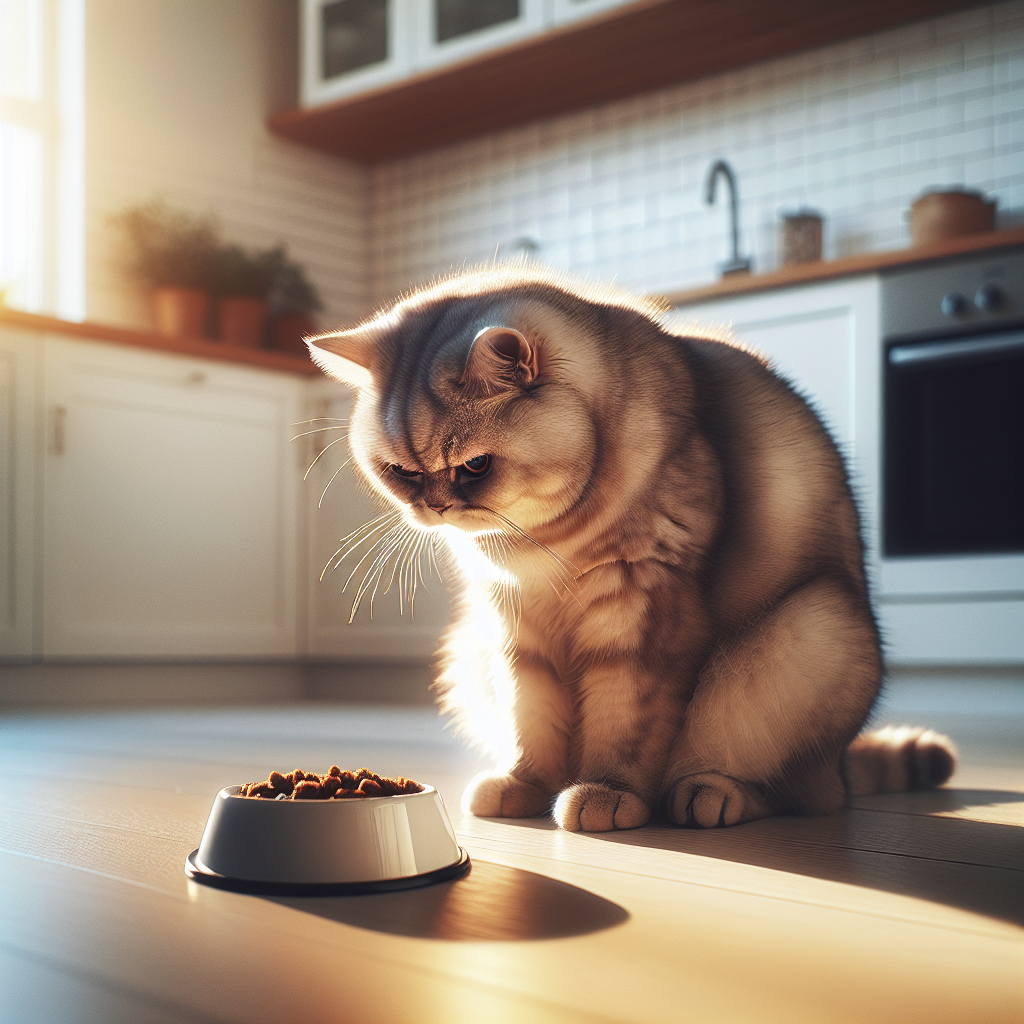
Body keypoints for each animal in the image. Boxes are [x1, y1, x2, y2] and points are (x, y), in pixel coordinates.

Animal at [307, 266, 954, 831]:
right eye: (400, 473)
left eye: (475, 466)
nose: (434, 507)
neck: (538, 547)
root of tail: (842, 763)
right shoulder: (515, 627)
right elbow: (530, 720)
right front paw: (524, 785)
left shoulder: (641, 612)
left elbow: (625, 724)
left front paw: (606, 793)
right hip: (468, 651)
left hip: (812, 632)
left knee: (789, 793)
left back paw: (711, 795)